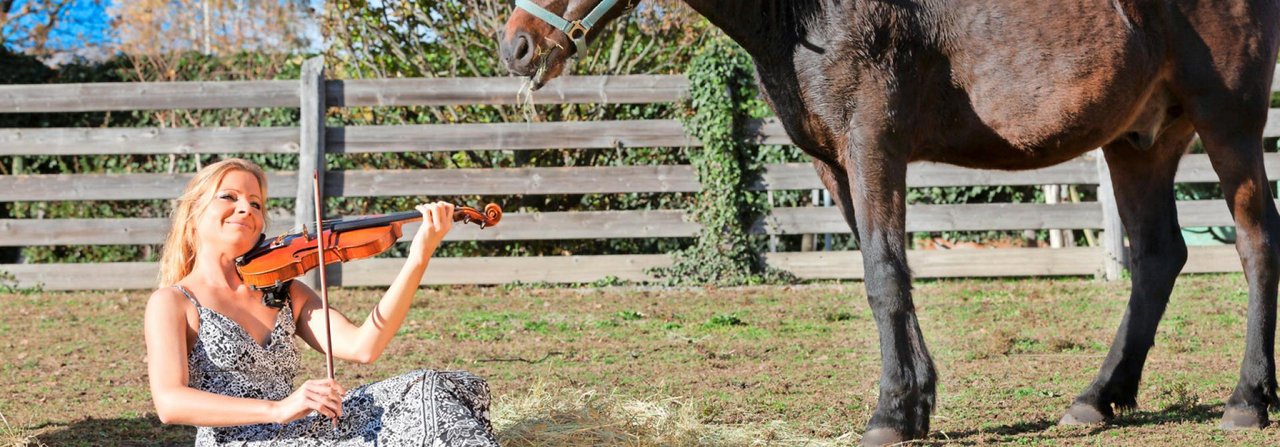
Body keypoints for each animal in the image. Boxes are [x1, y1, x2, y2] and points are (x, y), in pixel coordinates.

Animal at [497, 1, 1280, 445]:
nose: (516, 46)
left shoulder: (872, 139)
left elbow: (882, 274)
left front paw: (891, 412)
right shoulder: (832, 160)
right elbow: (886, 276)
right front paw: (914, 403)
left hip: (1228, 121)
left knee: (1255, 244)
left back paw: (1246, 401)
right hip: (1142, 138)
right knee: (1157, 257)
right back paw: (1097, 398)